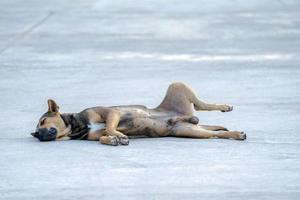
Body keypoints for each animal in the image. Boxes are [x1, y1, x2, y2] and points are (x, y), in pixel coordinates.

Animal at [31, 81, 246, 145]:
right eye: (37, 129)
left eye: (42, 122)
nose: (36, 134)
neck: (78, 125)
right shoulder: (96, 134)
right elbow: (104, 136)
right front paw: (113, 140)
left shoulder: (111, 113)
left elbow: (111, 126)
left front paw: (117, 135)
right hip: (190, 131)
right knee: (213, 132)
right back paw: (232, 133)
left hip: (177, 85)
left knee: (201, 106)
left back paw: (225, 108)